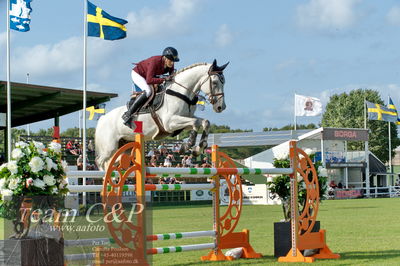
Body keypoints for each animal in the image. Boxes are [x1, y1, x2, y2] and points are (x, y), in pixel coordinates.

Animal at [94, 59, 230, 169]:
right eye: (215, 82)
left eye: (224, 82)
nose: (221, 107)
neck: (181, 92)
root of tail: (102, 119)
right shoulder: (170, 123)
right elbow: (196, 123)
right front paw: (188, 145)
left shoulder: (184, 120)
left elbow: (205, 122)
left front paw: (198, 148)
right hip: (109, 147)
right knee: (100, 161)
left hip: (124, 145)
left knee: (111, 162)